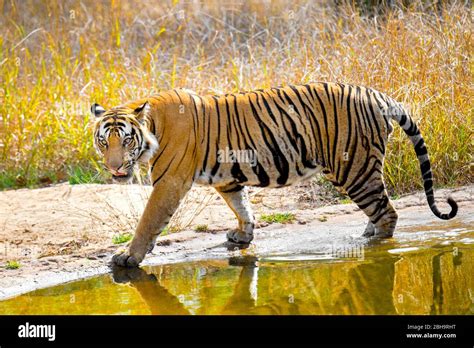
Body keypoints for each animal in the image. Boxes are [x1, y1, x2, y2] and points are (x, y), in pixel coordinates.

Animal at [90, 81, 458, 266]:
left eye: (126, 140)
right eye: (103, 141)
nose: (114, 167)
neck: (152, 126)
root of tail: (376, 94)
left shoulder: (169, 181)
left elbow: (148, 220)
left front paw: (128, 256)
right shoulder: (227, 177)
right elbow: (241, 205)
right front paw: (243, 235)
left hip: (353, 167)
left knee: (387, 213)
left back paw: (375, 245)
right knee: (381, 208)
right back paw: (368, 232)